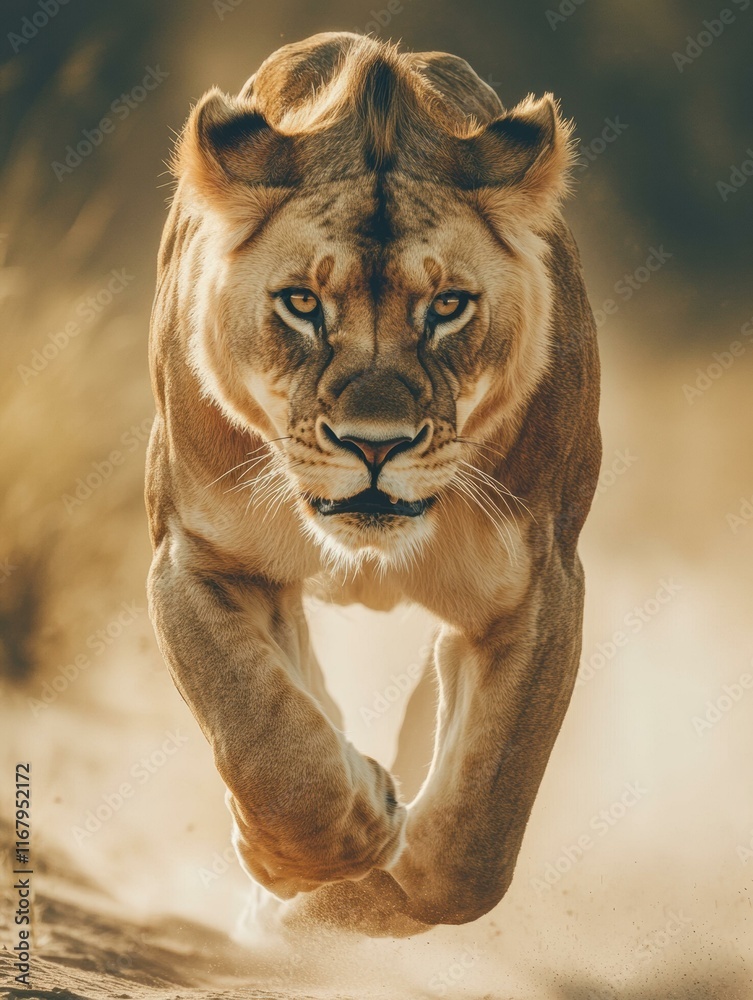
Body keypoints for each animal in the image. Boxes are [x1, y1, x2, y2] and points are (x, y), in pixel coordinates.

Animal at [145, 31, 601, 937]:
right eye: (301, 303)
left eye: (449, 306)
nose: (374, 445)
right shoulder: (195, 554)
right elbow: (264, 737)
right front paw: (327, 850)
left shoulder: (537, 586)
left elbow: (475, 840)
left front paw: (361, 902)